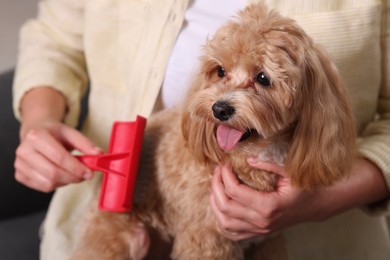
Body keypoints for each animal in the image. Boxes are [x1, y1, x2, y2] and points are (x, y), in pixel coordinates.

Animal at [71, 3, 356, 258]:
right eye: (220, 71)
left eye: (263, 78)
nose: (220, 109)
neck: (253, 154)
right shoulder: (206, 240)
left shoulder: (266, 242)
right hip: (120, 235)